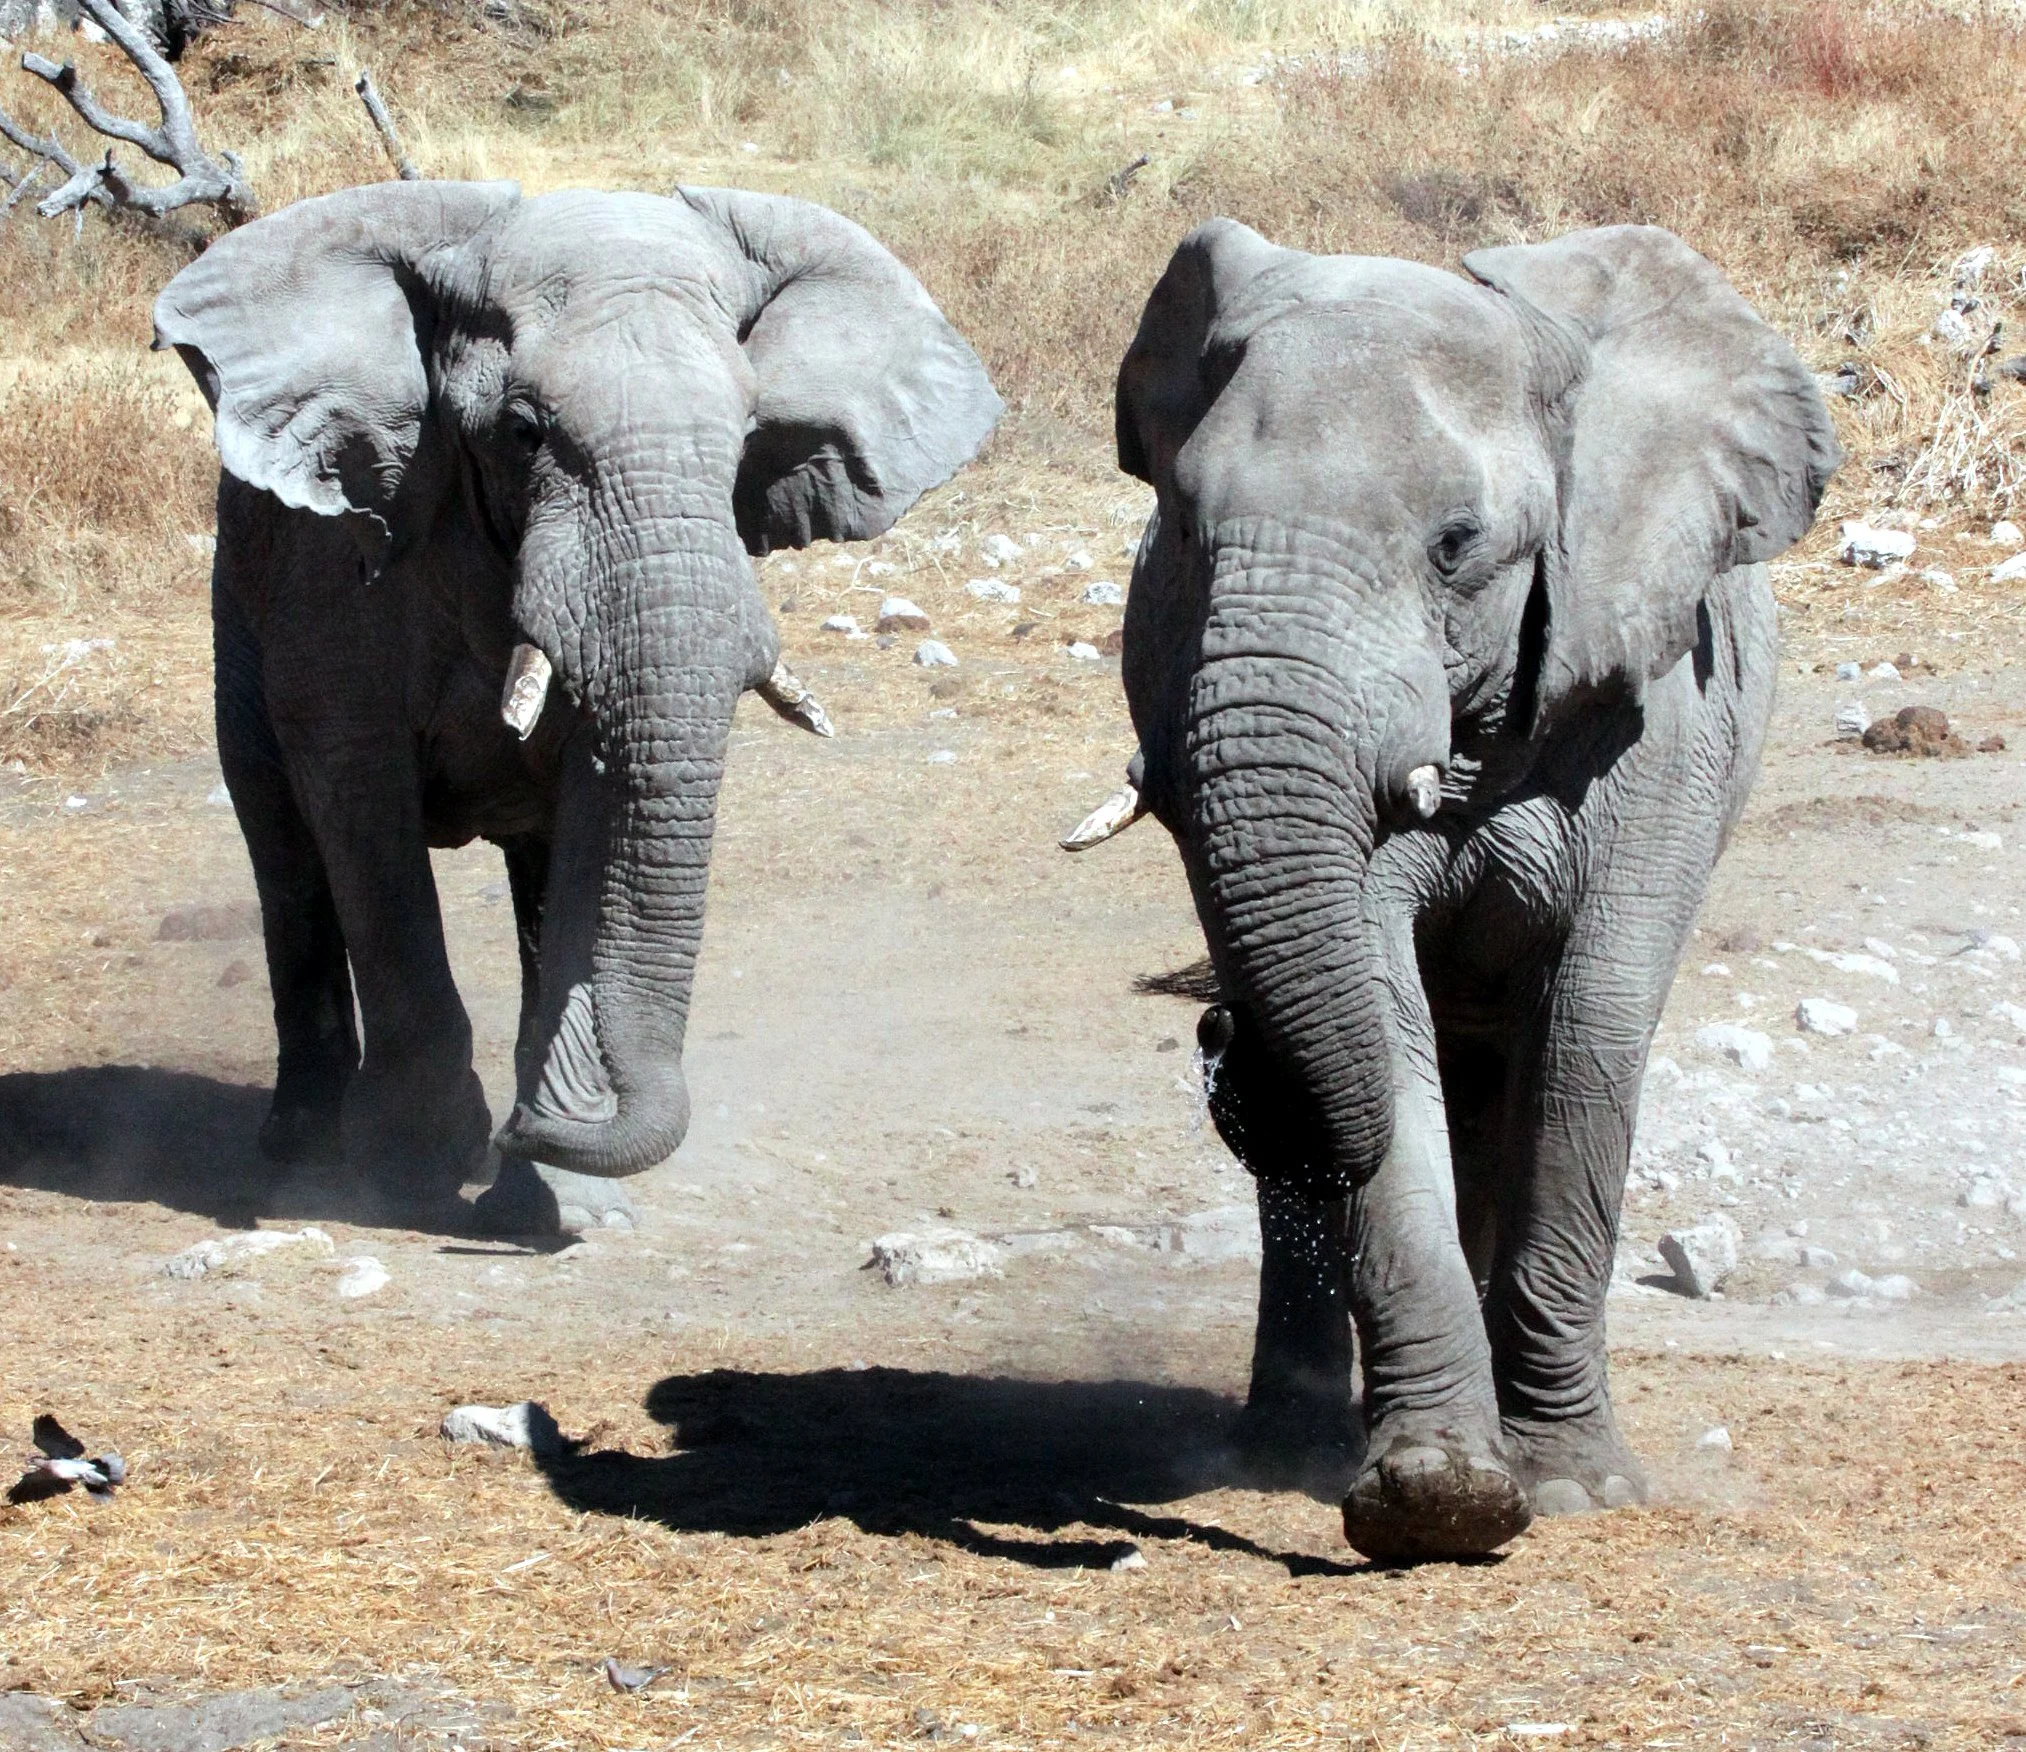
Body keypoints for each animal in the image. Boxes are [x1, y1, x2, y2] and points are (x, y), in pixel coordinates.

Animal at [154, 180, 1001, 1229]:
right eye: (523, 432)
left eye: (748, 436)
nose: (521, 1131)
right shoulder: (334, 584)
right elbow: (362, 812)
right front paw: (416, 1168)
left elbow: (603, 810)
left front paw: (561, 1190)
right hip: (239, 600)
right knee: (284, 846)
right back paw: (300, 1148)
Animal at [1076, 220, 1838, 1560]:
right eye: (1184, 527)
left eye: (1455, 545)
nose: (1216, 1034)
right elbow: (1379, 1023)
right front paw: (1437, 1499)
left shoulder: (1662, 719)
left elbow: (1589, 1027)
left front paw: (1576, 1489)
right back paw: (1285, 1450)